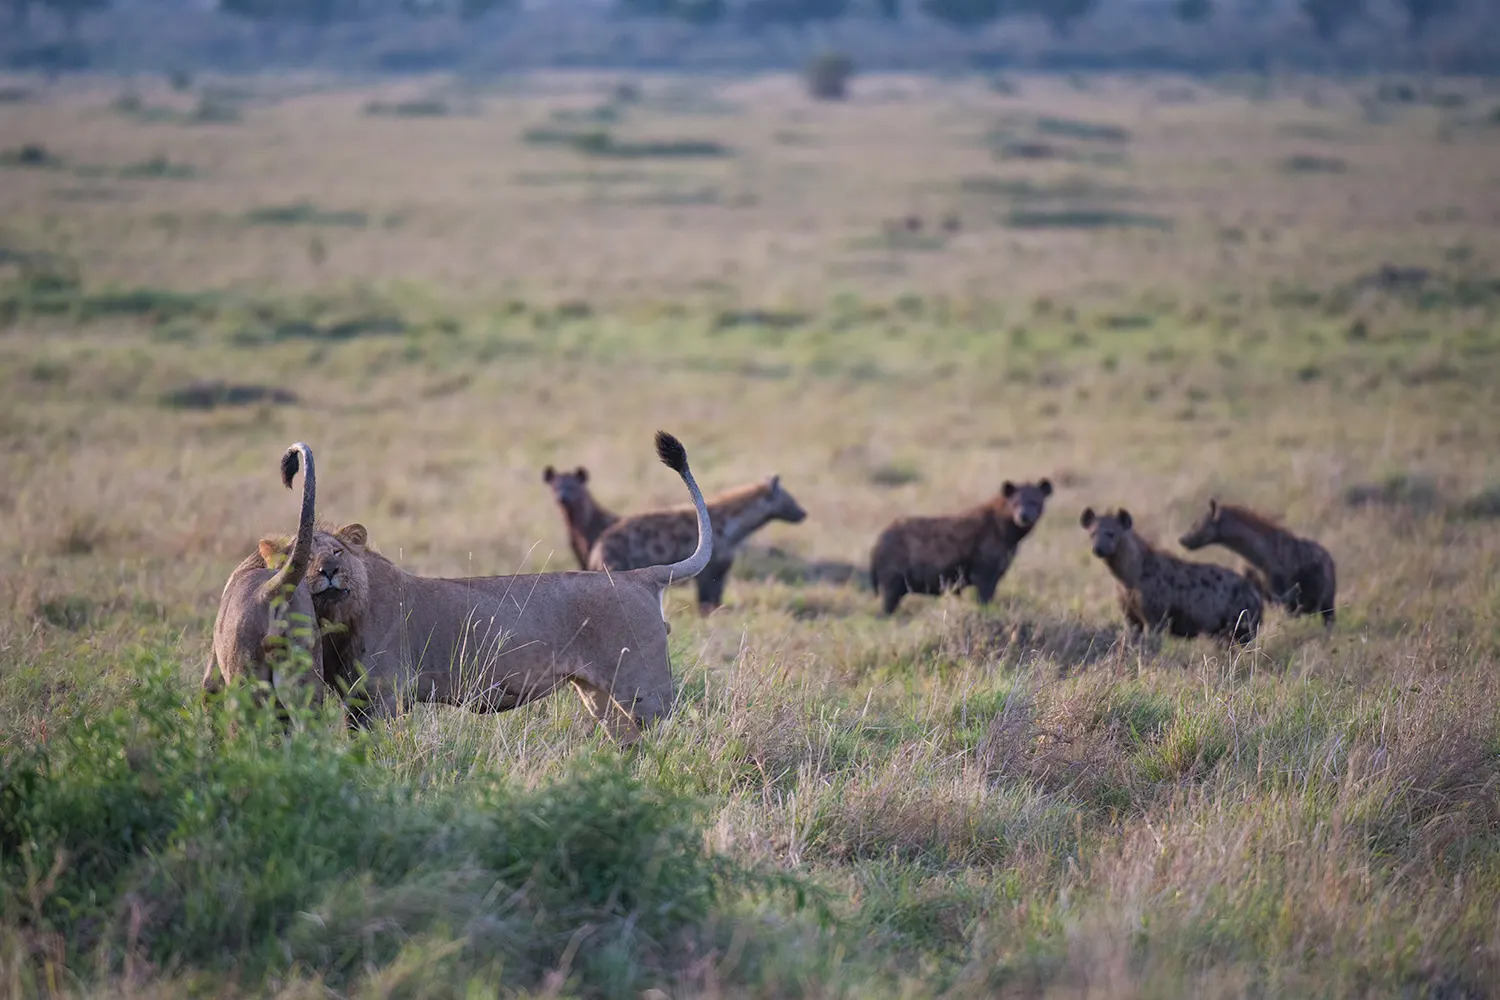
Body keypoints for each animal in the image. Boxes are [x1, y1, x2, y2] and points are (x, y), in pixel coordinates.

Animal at [306, 431, 714, 743]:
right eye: (305, 554)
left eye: (337, 551)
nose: (328, 571)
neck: (340, 616)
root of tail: (640, 575)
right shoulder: (354, 700)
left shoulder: (384, 696)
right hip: (598, 693)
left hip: (645, 693)